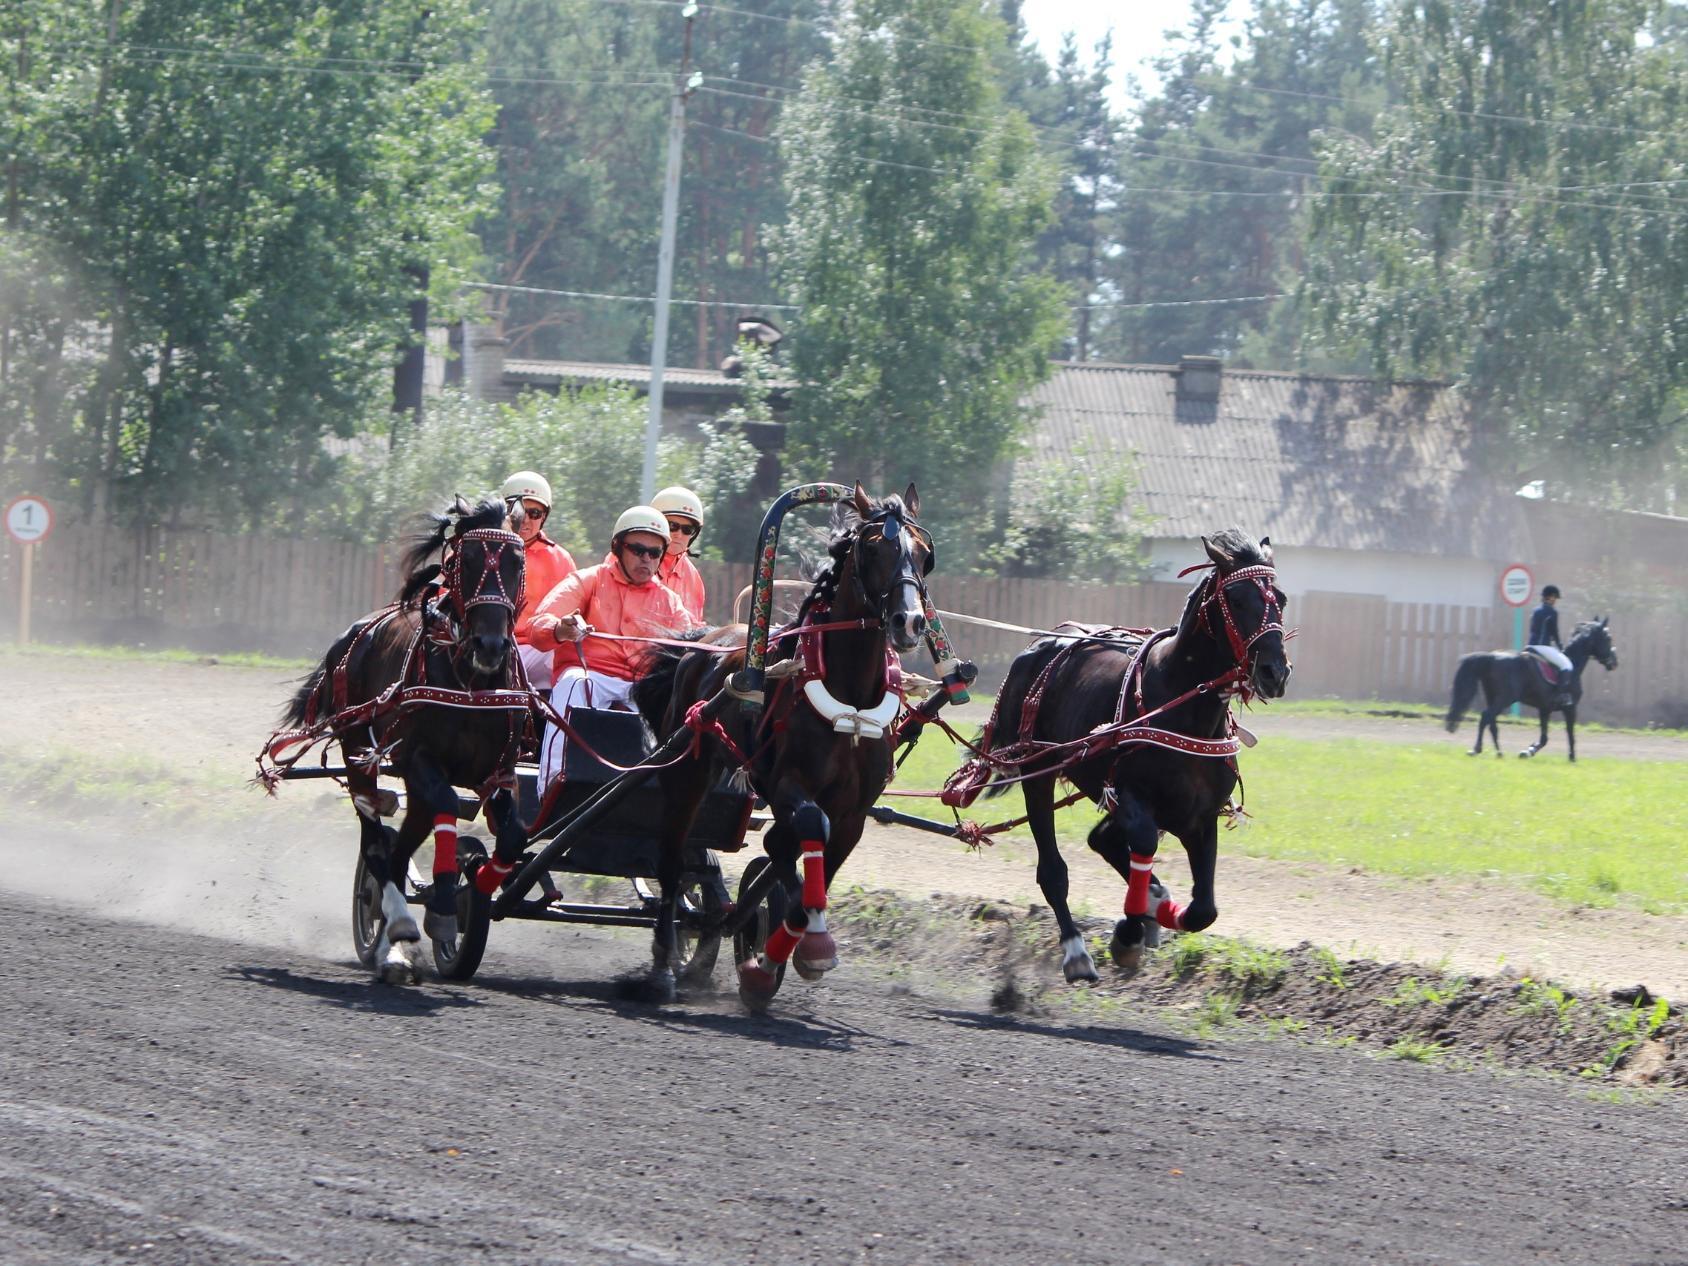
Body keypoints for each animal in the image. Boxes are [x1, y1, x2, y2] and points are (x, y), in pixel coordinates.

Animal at [278, 496, 526, 979]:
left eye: (516, 561)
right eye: (466, 559)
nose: (490, 645)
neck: (470, 682)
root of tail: (354, 633)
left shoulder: (498, 772)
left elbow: (513, 836)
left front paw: (475, 889)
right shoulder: (419, 759)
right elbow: (445, 805)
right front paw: (446, 905)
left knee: (402, 841)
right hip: (359, 750)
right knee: (375, 838)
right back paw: (395, 925)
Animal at [634, 482, 938, 1012]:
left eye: (923, 554)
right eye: (872, 547)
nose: (910, 622)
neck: (850, 699)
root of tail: (700, 644)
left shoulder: (855, 810)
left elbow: (810, 865)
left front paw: (770, 959)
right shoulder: (786, 784)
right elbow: (806, 834)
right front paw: (802, 945)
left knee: (772, 849)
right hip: (687, 770)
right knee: (673, 858)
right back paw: (663, 966)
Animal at [965, 530, 1289, 985]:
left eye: (1281, 599)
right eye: (1237, 598)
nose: (1275, 671)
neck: (1179, 704)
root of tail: (1046, 642)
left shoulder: (1200, 815)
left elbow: (1203, 910)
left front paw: (1155, 910)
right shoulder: (1131, 795)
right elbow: (1144, 844)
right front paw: (1129, 932)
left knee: (1100, 840)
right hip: (1037, 770)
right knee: (1053, 870)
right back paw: (1077, 950)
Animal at [1444, 617, 1613, 762]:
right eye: (1608, 638)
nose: (1614, 662)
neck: (1573, 663)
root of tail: (1492, 657)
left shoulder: (1545, 709)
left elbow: (1544, 738)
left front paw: (1527, 752)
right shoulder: (1570, 708)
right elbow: (1570, 733)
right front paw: (1572, 758)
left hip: (1493, 697)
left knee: (1492, 722)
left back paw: (1499, 753)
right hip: (1504, 699)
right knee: (1486, 717)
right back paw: (1477, 749)